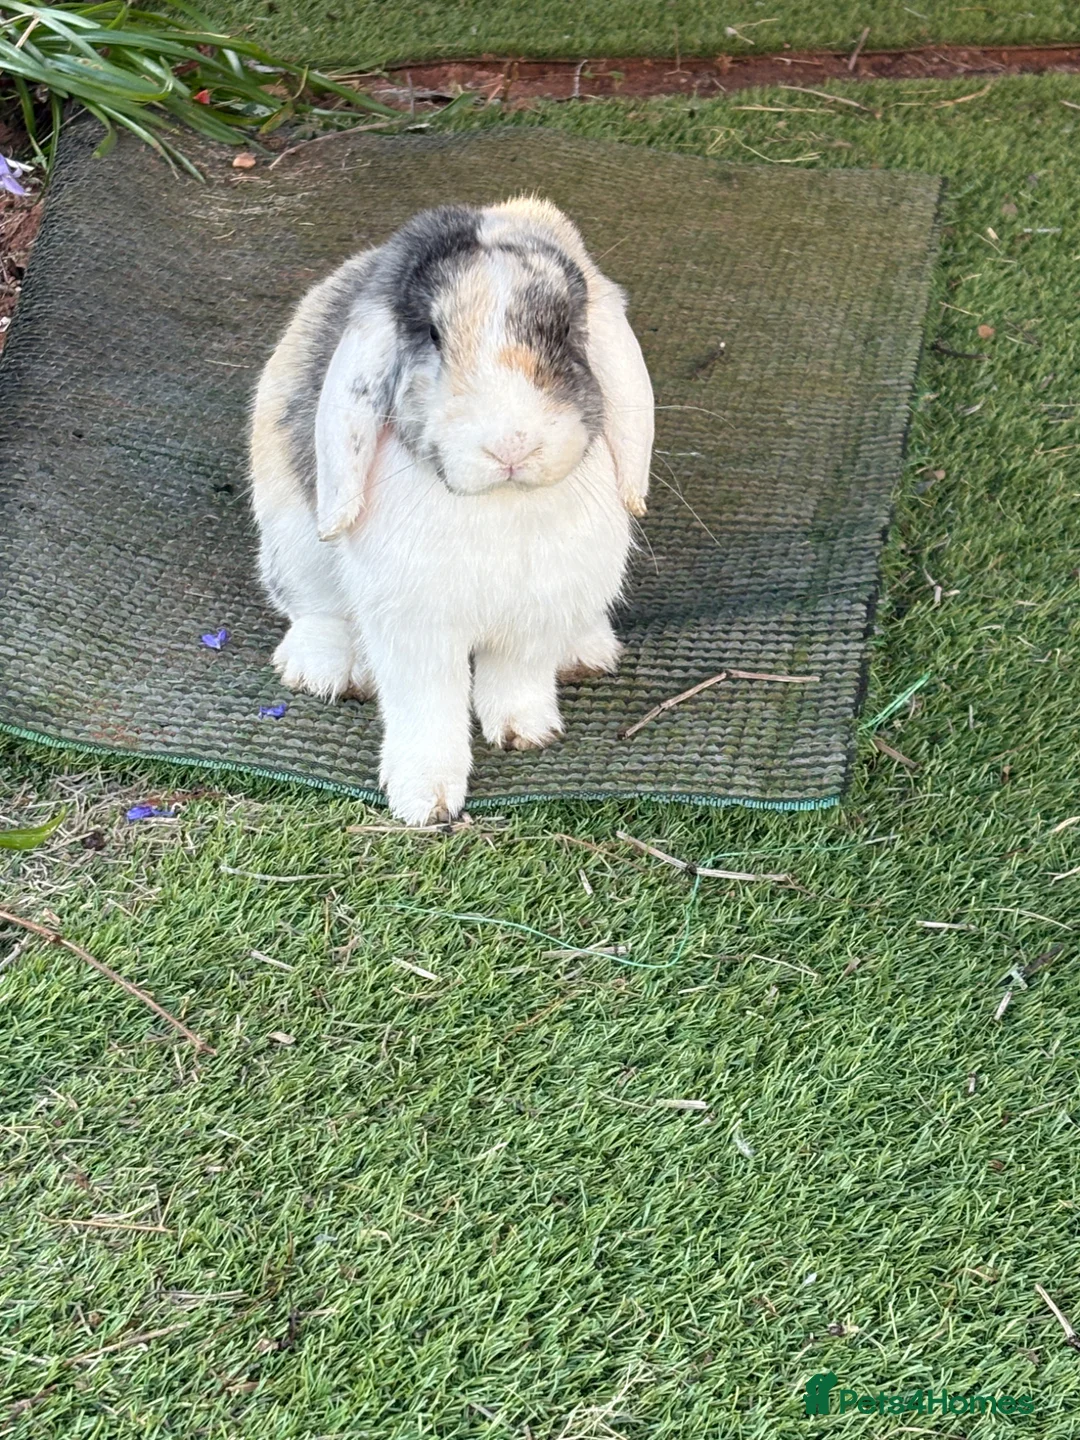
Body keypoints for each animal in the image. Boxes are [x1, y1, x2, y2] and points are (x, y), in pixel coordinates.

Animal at [250, 196, 654, 825]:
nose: (511, 445)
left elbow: (516, 682)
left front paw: (527, 733)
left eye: (564, 329)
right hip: (293, 543)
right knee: (315, 611)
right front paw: (423, 800)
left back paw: (587, 651)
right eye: (434, 335)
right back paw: (327, 672)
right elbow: (428, 707)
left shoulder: (535, 618)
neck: (500, 505)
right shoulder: (416, 629)